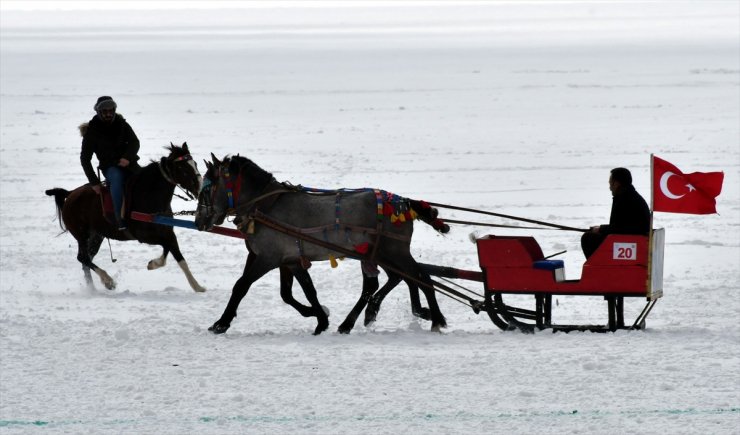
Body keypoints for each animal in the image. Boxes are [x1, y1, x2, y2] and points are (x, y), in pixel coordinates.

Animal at [46, 143, 205, 292]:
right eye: (182, 168)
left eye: (195, 164)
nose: (200, 188)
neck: (148, 197)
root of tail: (70, 194)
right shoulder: (144, 236)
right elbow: (167, 248)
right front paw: (153, 264)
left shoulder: (168, 233)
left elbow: (178, 257)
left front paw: (197, 286)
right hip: (82, 235)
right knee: (83, 258)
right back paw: (108, 281)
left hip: (96, 235)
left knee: (86, 261)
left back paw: (93, 288)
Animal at [197, 155, 448, 336]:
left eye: (207, 188)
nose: (199, 221)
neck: (266, 208)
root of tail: (404, 203)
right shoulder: (289, 260)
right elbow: (301, 292)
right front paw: (321, 319)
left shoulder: (268, 258)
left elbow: (241, 286)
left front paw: (221, 323)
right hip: (378, 253)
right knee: (387, 282)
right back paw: (353, 321)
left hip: (394, 251)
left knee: (421, 278)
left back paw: (436, 319)